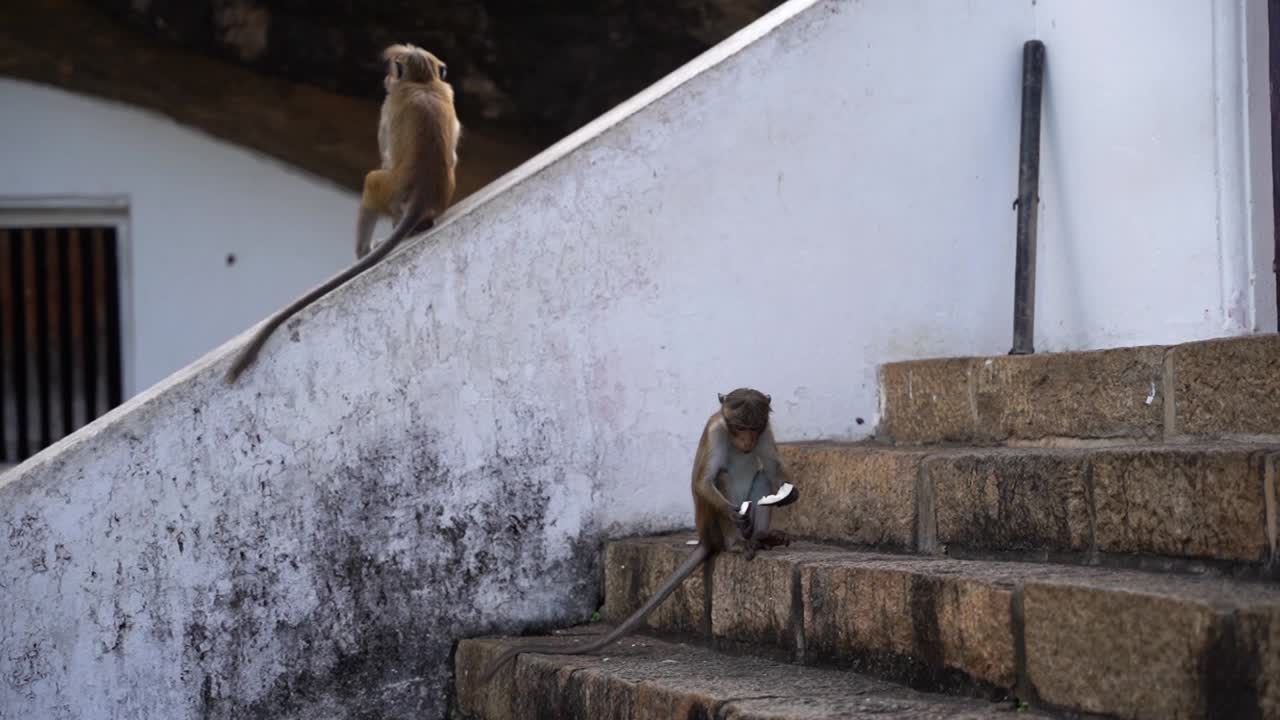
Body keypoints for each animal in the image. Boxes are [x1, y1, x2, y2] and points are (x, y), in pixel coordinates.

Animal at [224, 43, 460, 383]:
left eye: (392, 71)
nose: (386, 79)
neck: (423, 81)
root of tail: (421, 195)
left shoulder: (389, 106)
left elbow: (386, 153)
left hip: (386, 192)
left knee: (372, 181)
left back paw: (364, 250)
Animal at [476, 388, 799, 683]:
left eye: (753, 428)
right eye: (738, 427)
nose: (746, 443)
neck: (735, 439)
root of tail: (705, 538)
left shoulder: (767, 432)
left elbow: (773, 468)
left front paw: (790, 494)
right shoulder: (717, 432)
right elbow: (704, 481)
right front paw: (734, 514)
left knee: (762, 476)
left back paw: (761, 537)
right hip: (712, 528)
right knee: (720, 478)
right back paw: (735, 543)